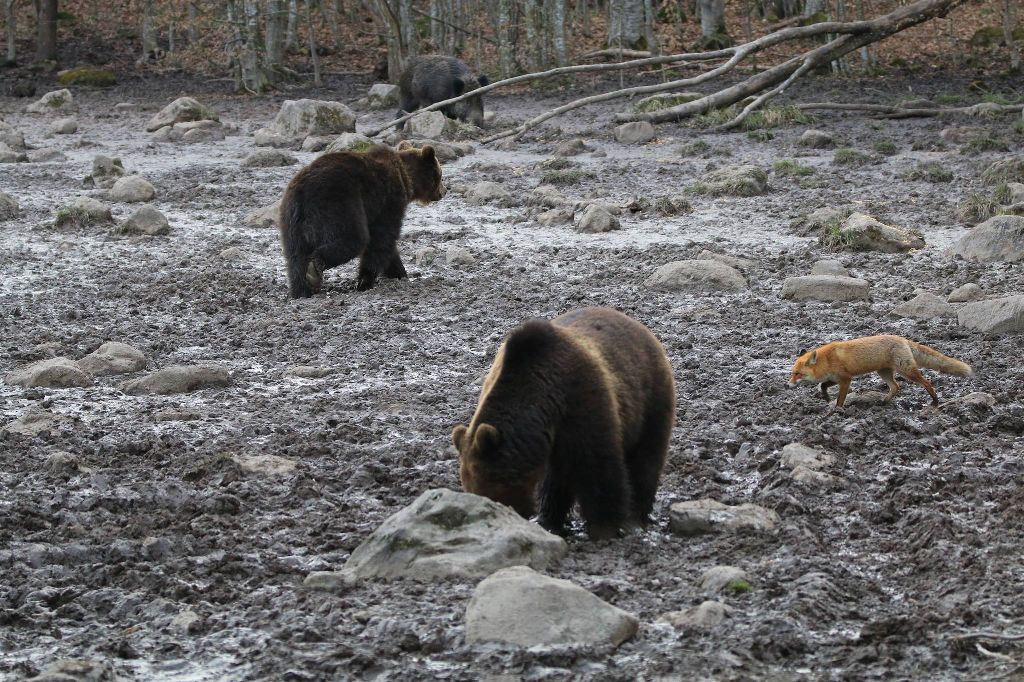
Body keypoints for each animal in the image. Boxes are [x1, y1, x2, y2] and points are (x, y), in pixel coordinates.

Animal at [278, 140, 446, 294]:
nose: (444, 191)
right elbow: (382, 239)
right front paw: (366, 280)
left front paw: (399, 272)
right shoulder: (388, 200)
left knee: (295, 254)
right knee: (354, 238)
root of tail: (302, 192)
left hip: (291, 220)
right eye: (440, 174)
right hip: (337, 203)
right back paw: (314, 269)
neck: (407, 179)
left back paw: (302, 289)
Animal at [452, 307, 675, 536]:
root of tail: (638, 325)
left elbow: (598, 465)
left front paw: (605, 526)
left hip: (650, 396)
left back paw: (636, 517)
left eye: (488, 493)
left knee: (646, 457)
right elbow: (557, 479)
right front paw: (547, 520)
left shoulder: (582, 402)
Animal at [786, 333, 970, 405]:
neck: (827, 361)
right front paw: (824, 396)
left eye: (798, 374)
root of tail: (901, 338)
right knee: (896, 386)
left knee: (927, 382)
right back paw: (884, 401)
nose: (787, 385)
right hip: (883, 372)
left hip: (906, 371)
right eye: (792, 373)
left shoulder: (846, 379)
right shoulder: (836, 378)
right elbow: (822, 385)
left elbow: (840, 399)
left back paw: (935, 400)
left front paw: (837, 411)